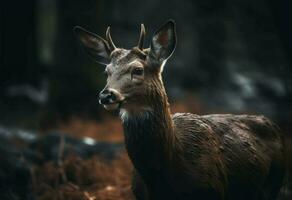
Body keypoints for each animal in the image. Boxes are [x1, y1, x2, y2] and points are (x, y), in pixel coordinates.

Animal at [74, 20, 286, 200]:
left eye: (138, 70)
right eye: (106, 71)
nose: (106, 95)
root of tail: (273, 124)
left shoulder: (213, 190)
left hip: (274, 183)